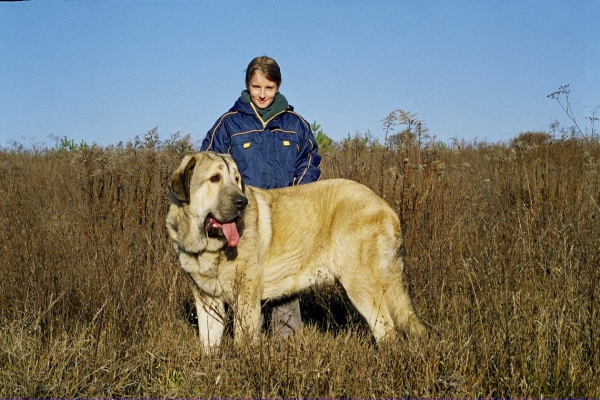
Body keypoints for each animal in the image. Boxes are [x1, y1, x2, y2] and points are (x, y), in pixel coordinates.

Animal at [166, 152, 424, 348]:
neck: (207, 249)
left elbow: (243, 342)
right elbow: (208, 343)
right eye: (215, 178)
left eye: (236, 179)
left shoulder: (246, 298)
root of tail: (387, 208)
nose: (242, 202)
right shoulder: (206, 301)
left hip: (361, 286)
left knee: (386, 331)